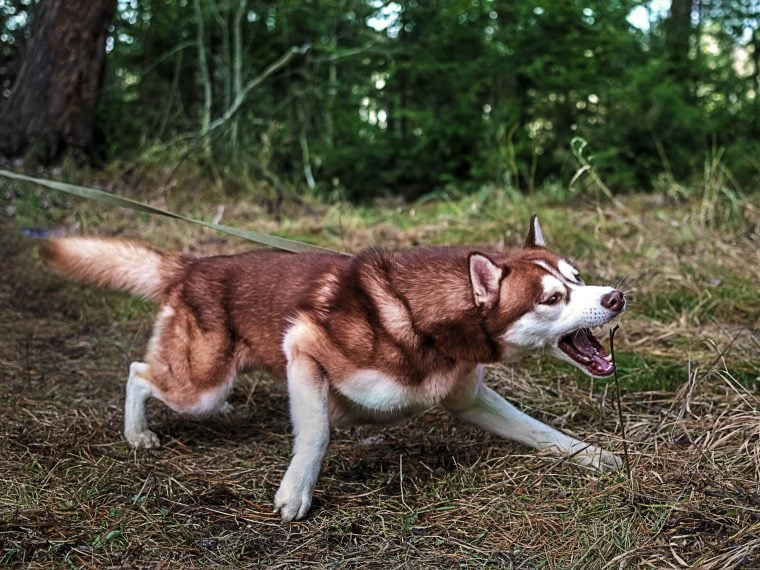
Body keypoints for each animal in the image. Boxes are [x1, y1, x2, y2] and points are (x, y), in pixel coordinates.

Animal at [38, 214, 628, 520]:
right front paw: (296, 493)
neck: (423, 317)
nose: (616, 296)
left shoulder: (468, 397)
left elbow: (542, 431)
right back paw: (137, 433)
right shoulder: (302, 347)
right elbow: (317, 432)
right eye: (552, 298)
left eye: (577, 276)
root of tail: (192, 266)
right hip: (198, 387)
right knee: (138, 371)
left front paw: (594, 456)